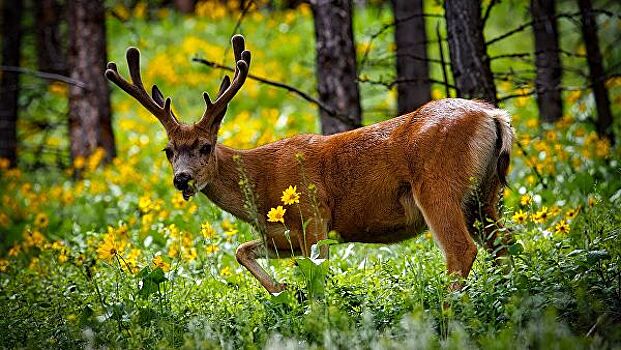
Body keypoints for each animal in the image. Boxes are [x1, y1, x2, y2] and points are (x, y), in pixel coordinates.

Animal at [105, 34, 512, 292]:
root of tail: (495, 116)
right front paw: (283, 288)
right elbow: (241, 250)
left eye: (205, 147)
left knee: (462, 251)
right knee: (504, 244)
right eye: (168, 151)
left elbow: (319, 278)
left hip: (437, 186)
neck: (261, 184)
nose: (182, 179)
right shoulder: (282, 236)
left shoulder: (314, 217)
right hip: (485, 195)